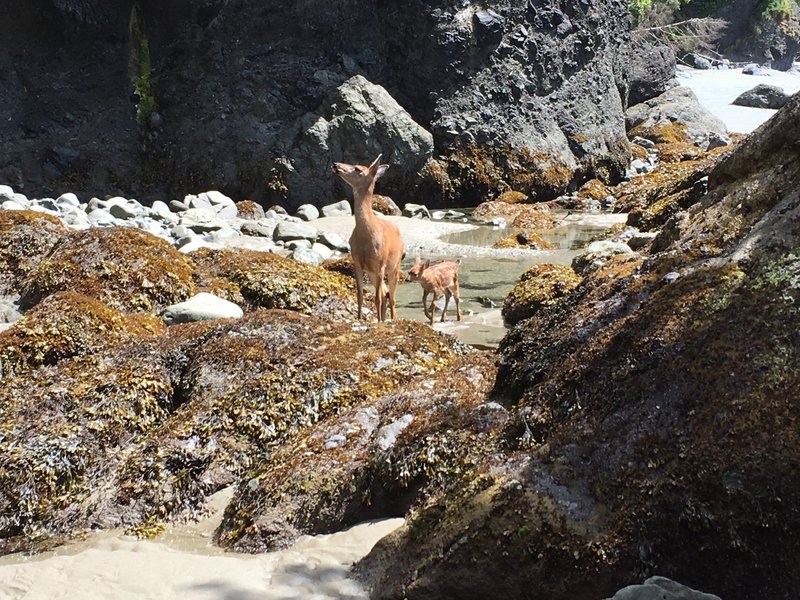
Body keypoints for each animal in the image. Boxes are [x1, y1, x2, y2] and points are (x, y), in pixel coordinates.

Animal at [332, 157, 404, 322]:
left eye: (358, 168)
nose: (335, 164)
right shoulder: (357, 262)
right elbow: (360, 295)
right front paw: (359, 318)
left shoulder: (380, 263)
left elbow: (376, 298)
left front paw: (378, 321)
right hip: (372, 272)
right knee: (385, 293)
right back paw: (383, 318)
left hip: (394, 267)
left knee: (392, 297)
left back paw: (392, 319)